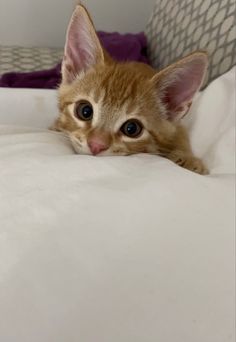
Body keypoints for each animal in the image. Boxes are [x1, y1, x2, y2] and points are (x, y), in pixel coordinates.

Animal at [52, 2, 208, 174]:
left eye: (131, 128)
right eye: (85, 111)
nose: (96, 145)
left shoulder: (178, 128)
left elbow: (181, 137)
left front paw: (188, 159)